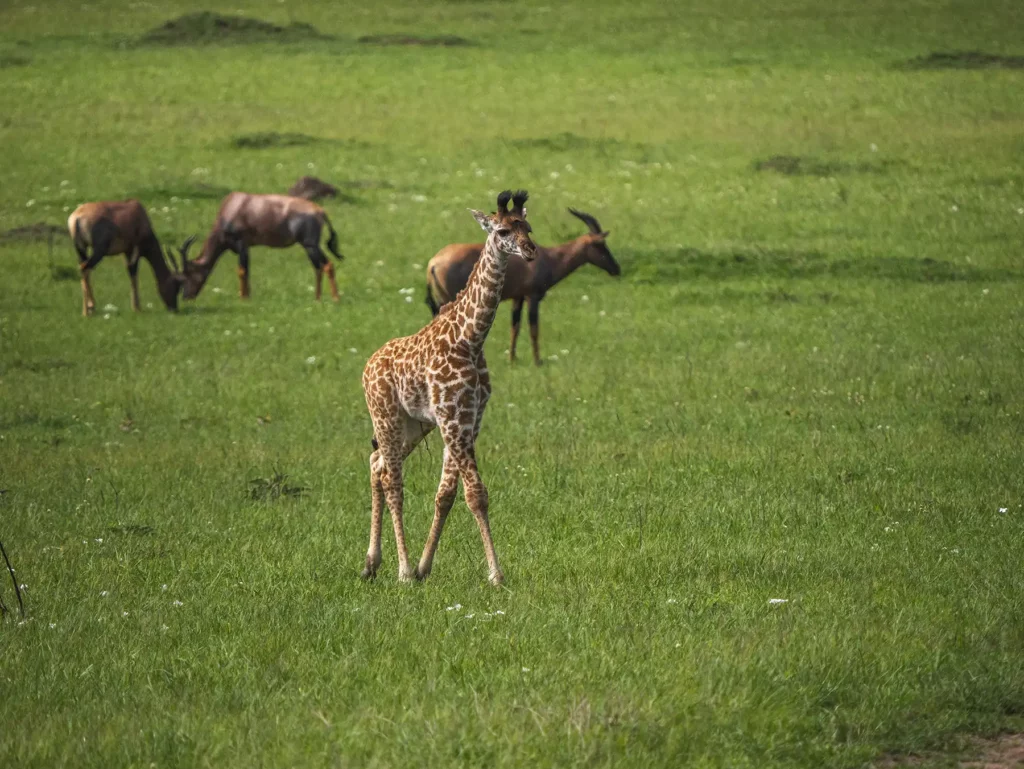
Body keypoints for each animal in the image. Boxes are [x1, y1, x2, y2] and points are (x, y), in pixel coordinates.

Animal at [361, 190, 537, 586]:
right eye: (502, 230)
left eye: (528, 227)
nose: (531, 251)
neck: (470, 339)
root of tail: (367, 366)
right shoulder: (453, 419)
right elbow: (476, 494)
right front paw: (496, 574)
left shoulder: (468, 420)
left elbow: (447, 494)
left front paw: (426, 567)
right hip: (386, 416)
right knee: (393, 481)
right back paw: (402, 571)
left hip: (414, 425)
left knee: (377, 464)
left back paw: (371, 564)